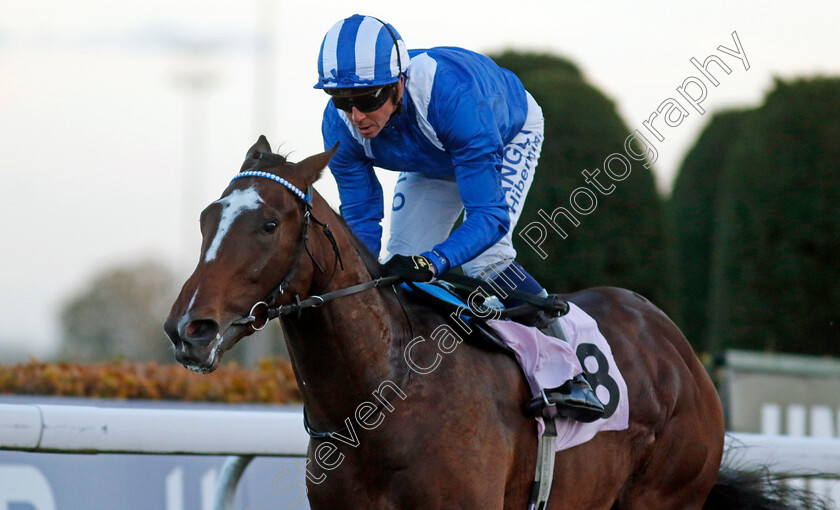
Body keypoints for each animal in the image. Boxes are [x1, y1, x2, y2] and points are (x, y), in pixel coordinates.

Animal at [166, 136, 828, 510]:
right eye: (204, 218)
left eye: (269, 224)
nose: (188, 330)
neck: (383, 395)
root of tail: (678, 350)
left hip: (664, 494)